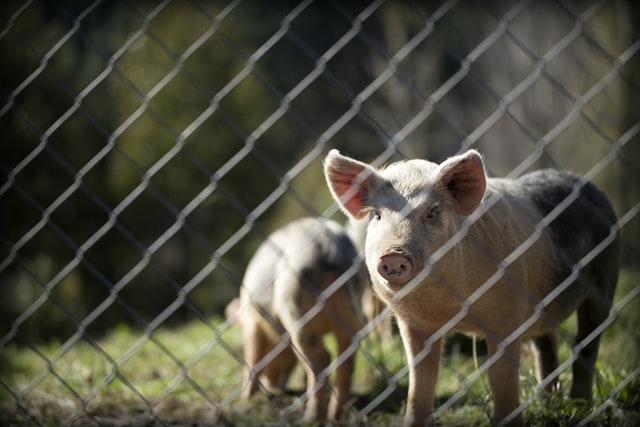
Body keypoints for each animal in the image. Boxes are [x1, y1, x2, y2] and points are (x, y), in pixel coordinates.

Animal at [236, 219, 368, 422]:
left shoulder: (252, 321)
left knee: (321, 358)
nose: (275, 386)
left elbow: (252, 356)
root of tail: (330, 248)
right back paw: (334, 417)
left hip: (295, 306)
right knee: (347, 356)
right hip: (352, 308)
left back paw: (310, 418)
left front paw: (245, 399)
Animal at [324, 149, 620, 426]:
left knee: (586, 342)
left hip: (605, 276)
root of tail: (587, 185)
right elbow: (421, 378)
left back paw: (580, 405)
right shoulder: (413, 323)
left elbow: (500, 377)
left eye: (432, 213)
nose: (394, 255)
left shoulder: (506, 315)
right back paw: (548, 402)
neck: (447, 306)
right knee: (547, 342)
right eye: (377, 215)